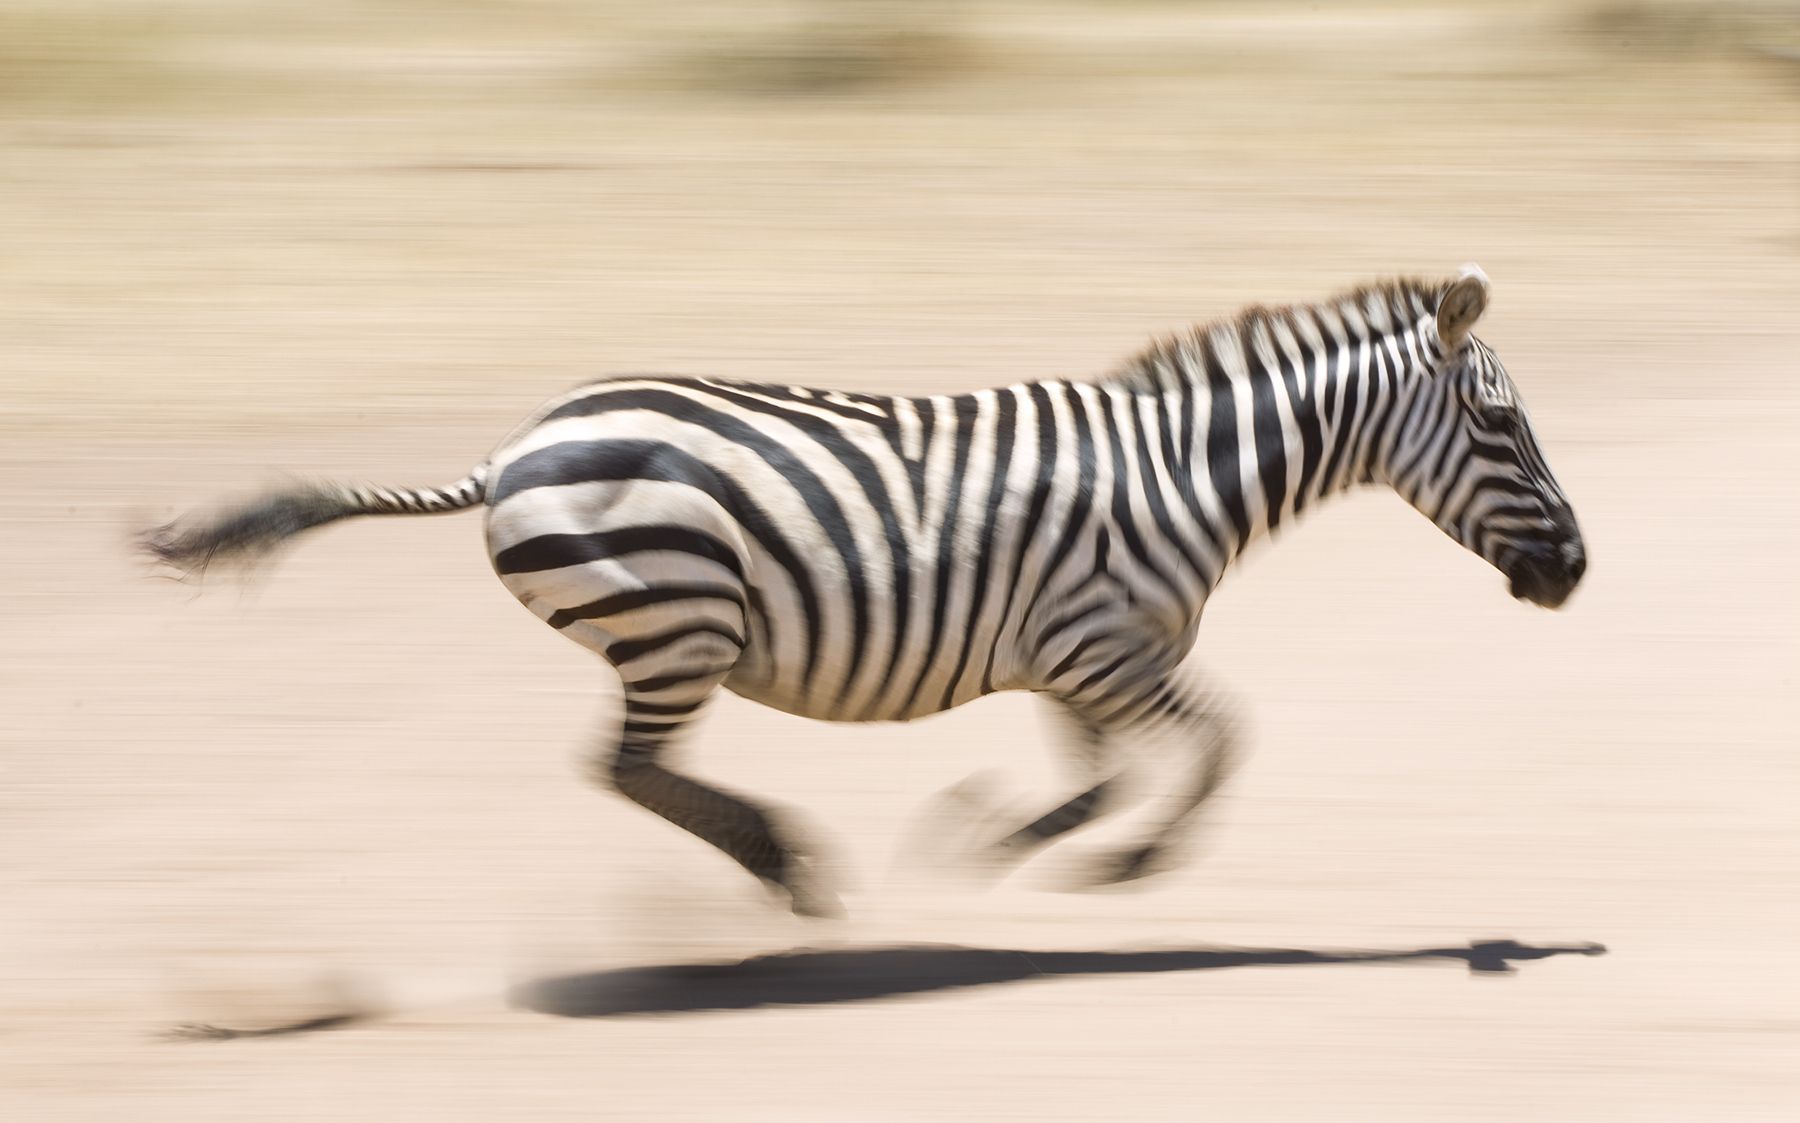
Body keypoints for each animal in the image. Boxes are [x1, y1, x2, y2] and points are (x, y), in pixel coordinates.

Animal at [142, 265, 1585, 918]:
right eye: (1501, 425)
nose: (1576, 572)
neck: (1184, 474)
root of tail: (509, 453)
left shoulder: (1070, 654)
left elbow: (1108, 771)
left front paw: (999, 836)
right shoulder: (1101, 643)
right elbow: (1224, 739)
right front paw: (1126, 860)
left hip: (665, 631)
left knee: (629, 770)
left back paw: (792, 864)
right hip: (680, 621)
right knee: (625, 768)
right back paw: (786, 862)